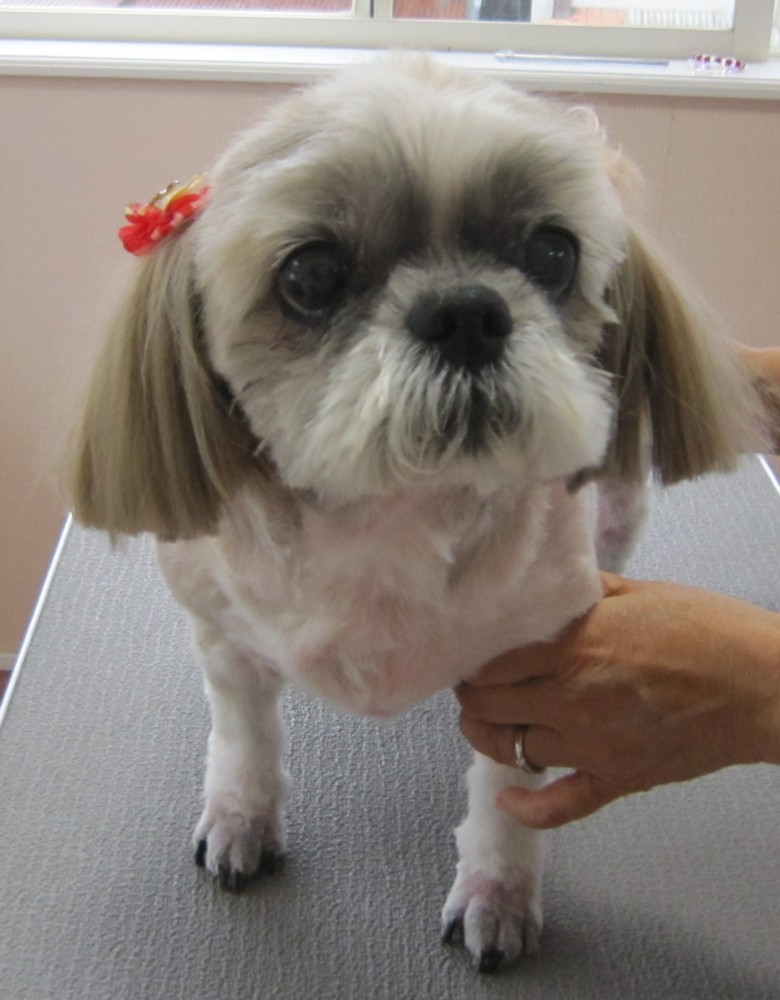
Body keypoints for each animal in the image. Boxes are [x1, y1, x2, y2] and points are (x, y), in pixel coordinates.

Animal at [65, 56, 766, 973]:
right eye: (309, 274)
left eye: (553, 251)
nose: (466, 310)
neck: (388, 514)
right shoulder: (224, 632)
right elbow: (244, 737)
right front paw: (241, 816)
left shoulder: (528, 671)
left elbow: (506, 795)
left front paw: (497, 893)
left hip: (618, 496)